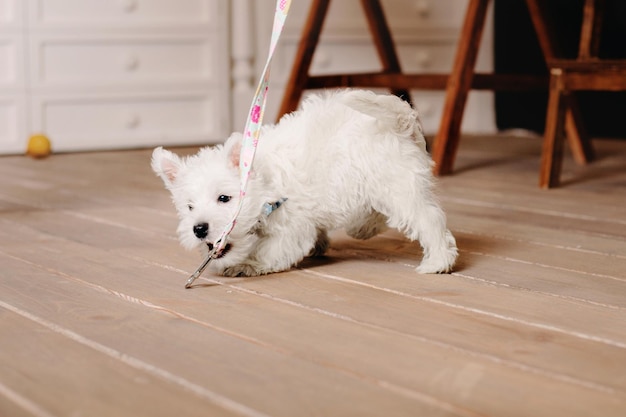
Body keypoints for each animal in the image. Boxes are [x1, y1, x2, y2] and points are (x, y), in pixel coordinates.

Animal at [149, 89, 456, 274]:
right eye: (189, 207)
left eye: (224, 198)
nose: (199, 228)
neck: (265, 184)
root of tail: (401, 119)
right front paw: (320, 245)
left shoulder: (292, 226)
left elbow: (270, 250)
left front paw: (245, 264)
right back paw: (362, 227)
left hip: (399, 187)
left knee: (428, 219)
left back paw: (437, 261)